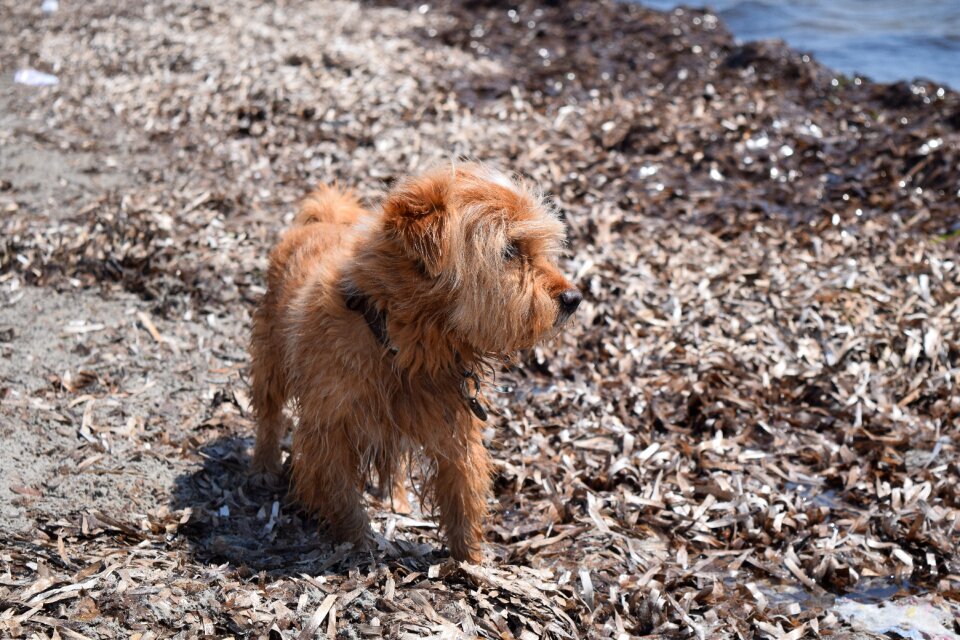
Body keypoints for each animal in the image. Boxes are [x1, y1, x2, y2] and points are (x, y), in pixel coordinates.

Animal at [248, 162, 580, 564]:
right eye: (509, 250)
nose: (574, 298)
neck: (405, 344)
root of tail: (322, 220)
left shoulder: (453, 430)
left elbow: (462, 494)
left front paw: (472, 562)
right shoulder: (329, 433)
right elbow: (341, 495)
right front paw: (359, 543)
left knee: (391, 459)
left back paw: (397, 497)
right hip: (270, 357)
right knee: (269, 412)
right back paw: (263, 464)